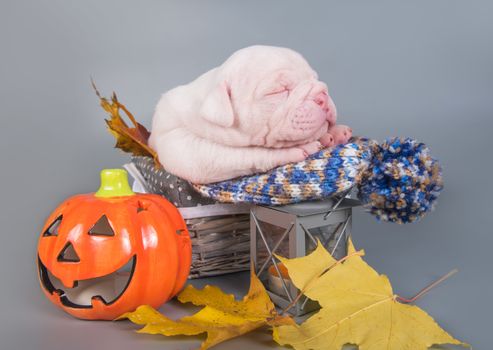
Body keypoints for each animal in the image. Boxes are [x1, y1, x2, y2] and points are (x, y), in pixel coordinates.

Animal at [148, 45, 352, 185]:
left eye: (314, 78)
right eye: (278, 91)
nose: (322, 95)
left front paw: (333, 132)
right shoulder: (189, 150)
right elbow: (251, 153)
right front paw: (300, 148)